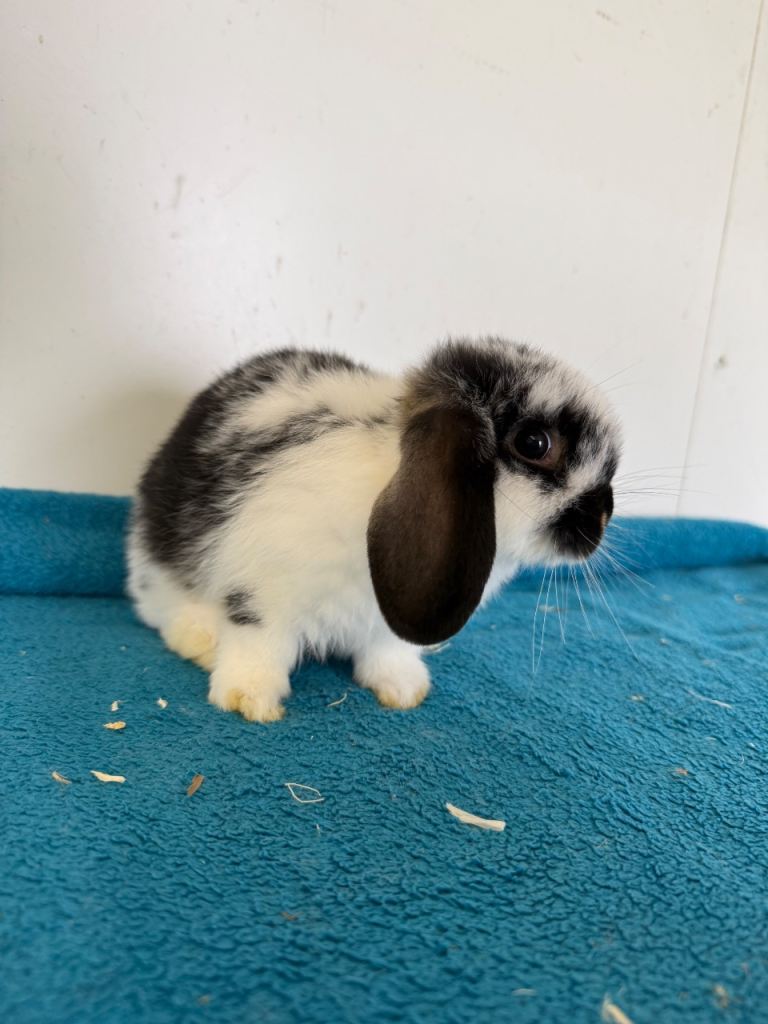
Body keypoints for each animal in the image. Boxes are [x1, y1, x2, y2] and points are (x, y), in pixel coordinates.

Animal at [127, 339, 621, 722]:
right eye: (535, 443)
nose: (602, 518)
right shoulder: (262, 590)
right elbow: (258, 643)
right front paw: (249, 700)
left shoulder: (386, 622)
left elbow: (387, 653)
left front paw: (403, 690)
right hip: (161, 561)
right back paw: (199, 639)